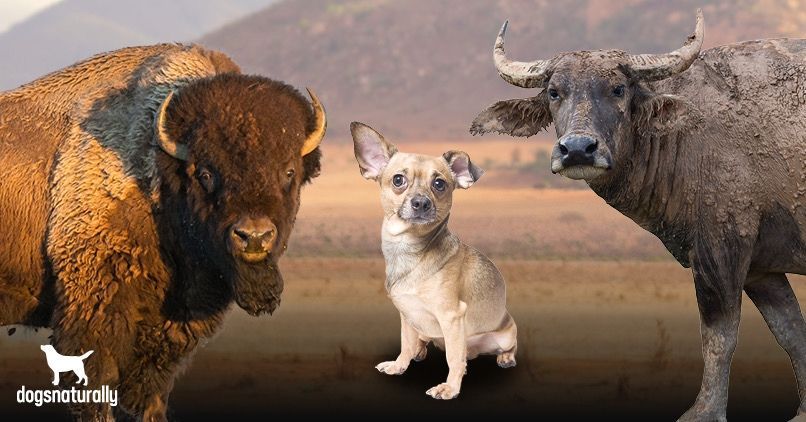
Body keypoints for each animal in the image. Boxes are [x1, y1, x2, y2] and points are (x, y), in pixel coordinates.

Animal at [0, 44, 325, 420]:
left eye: (289, 171)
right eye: (205, 173)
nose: (254, 236)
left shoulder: (168, 330)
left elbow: (146, 393)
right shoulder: (93, 312)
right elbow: (95, 385)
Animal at [472, 10, 806, 421]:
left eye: (618, 89)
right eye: (554, 91)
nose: (578, 149)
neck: (683, 135)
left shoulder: (720, 252)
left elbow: (719, 336)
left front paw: (704, 411)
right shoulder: (762, 269)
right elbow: (791, 334)